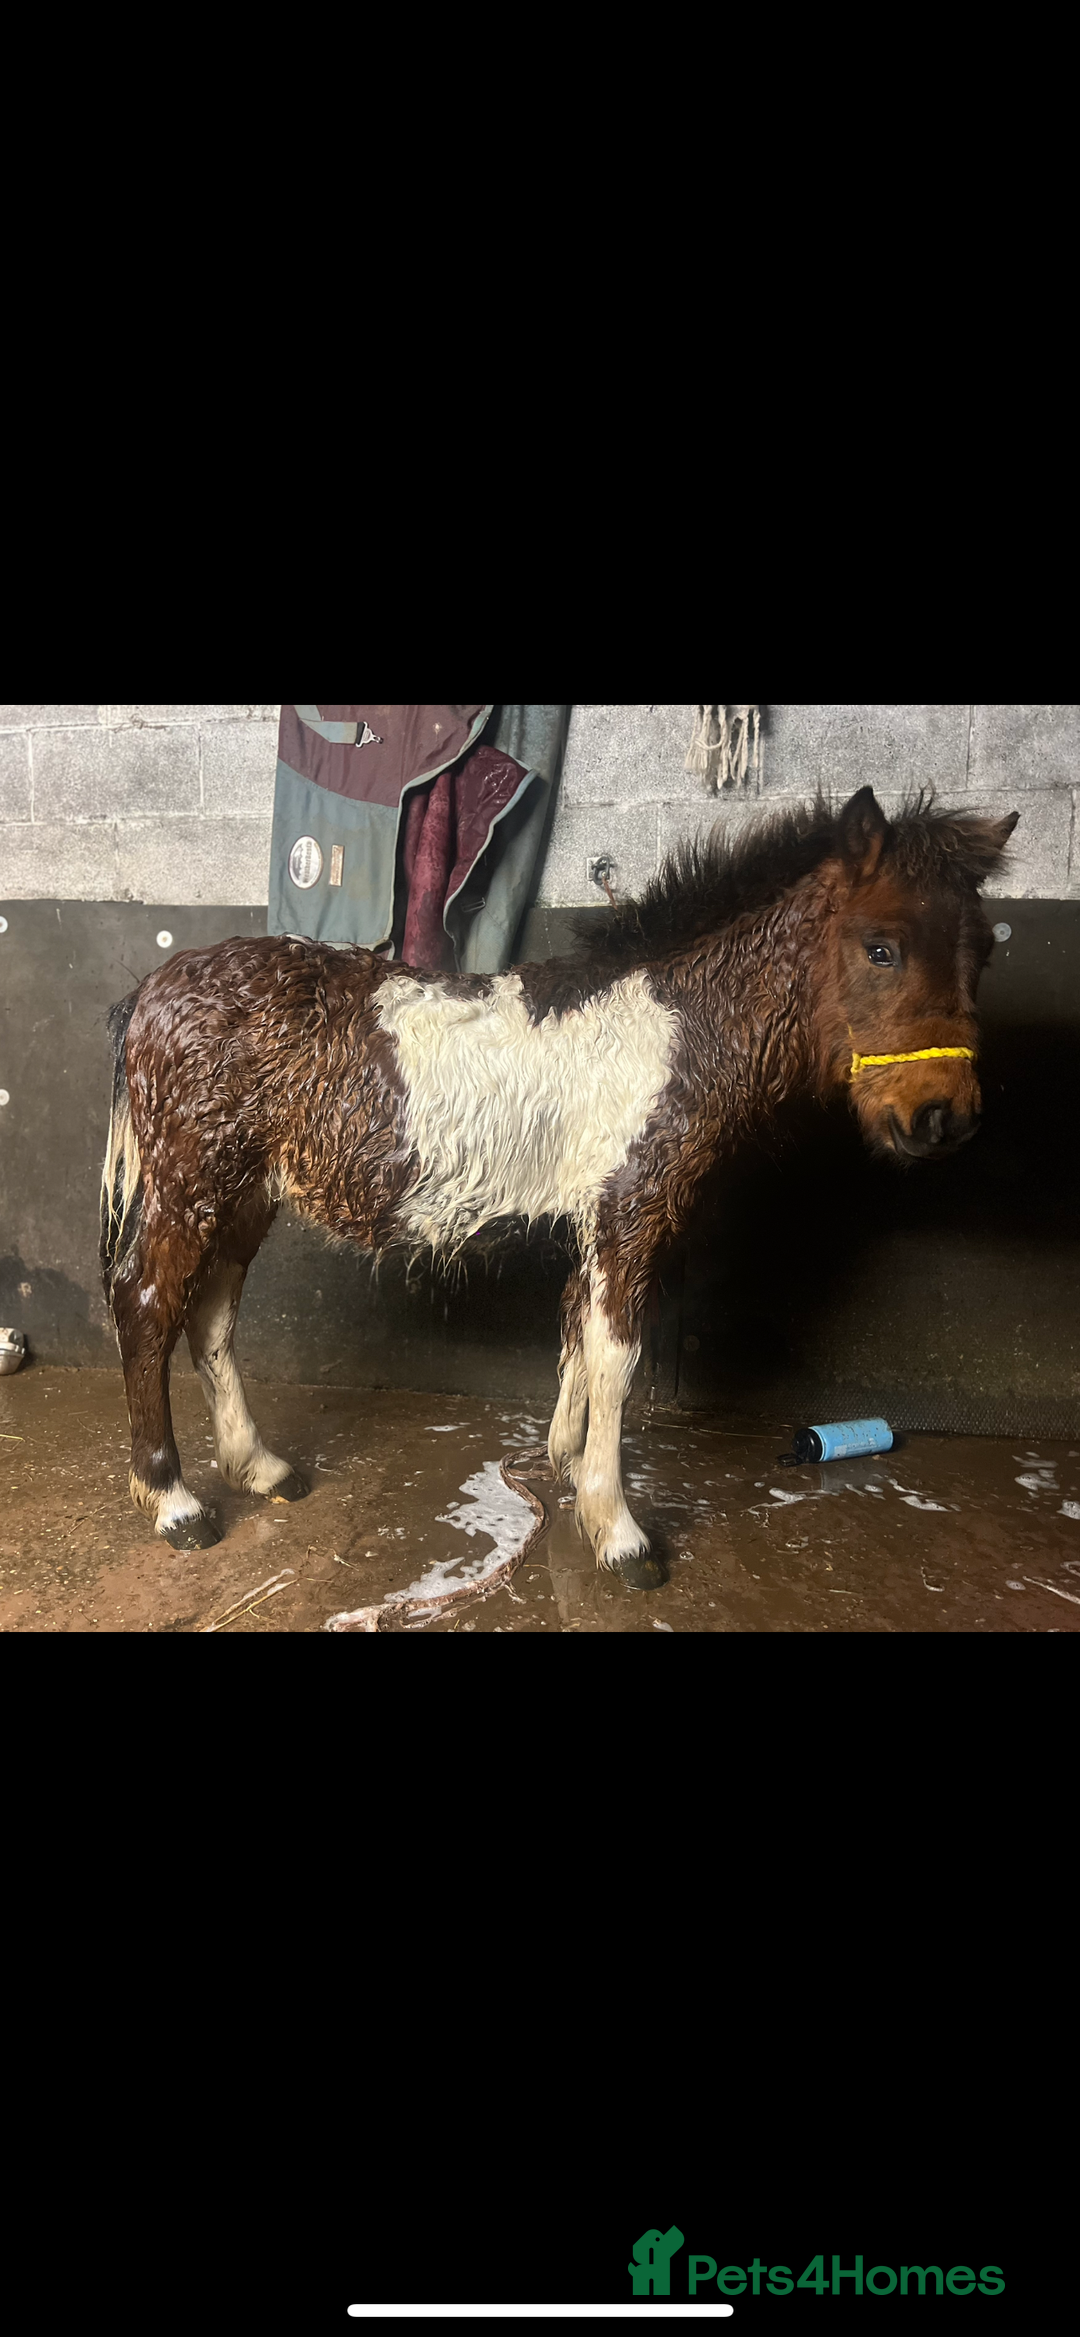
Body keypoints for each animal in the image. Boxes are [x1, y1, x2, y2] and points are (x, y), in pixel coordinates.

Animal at [99, 784, 1018, 1585]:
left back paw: (260, 1466)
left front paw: (567, 1459)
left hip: (246, 1192)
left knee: (210, 1315)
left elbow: (580, 1328)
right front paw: (618, 1529)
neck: (676, 1026)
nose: (943, 1117)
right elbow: (618, 1352)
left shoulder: (597, 1215)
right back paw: (176, 1502)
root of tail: (149, 993)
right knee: (145, 1305)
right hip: (192, 1180)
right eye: (881, 947)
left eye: (984, 949)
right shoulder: (631, 1208)